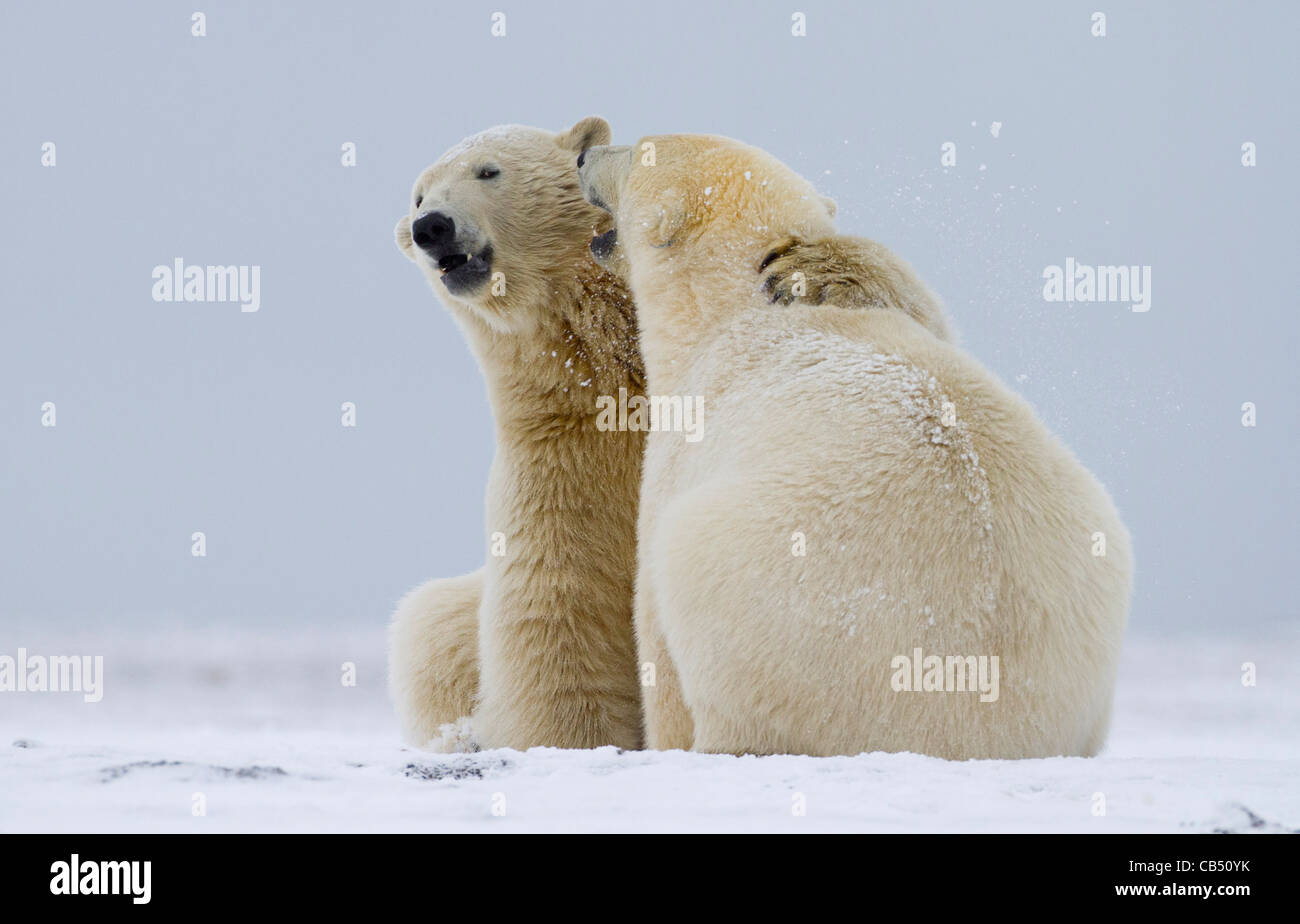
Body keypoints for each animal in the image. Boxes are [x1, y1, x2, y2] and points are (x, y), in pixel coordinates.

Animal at [384, 119, 878, 753]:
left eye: (487, 171)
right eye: (418, 196)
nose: (431, 227)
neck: (612, 370)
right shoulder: (559, 470)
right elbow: (561, 612)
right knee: (428, 621)